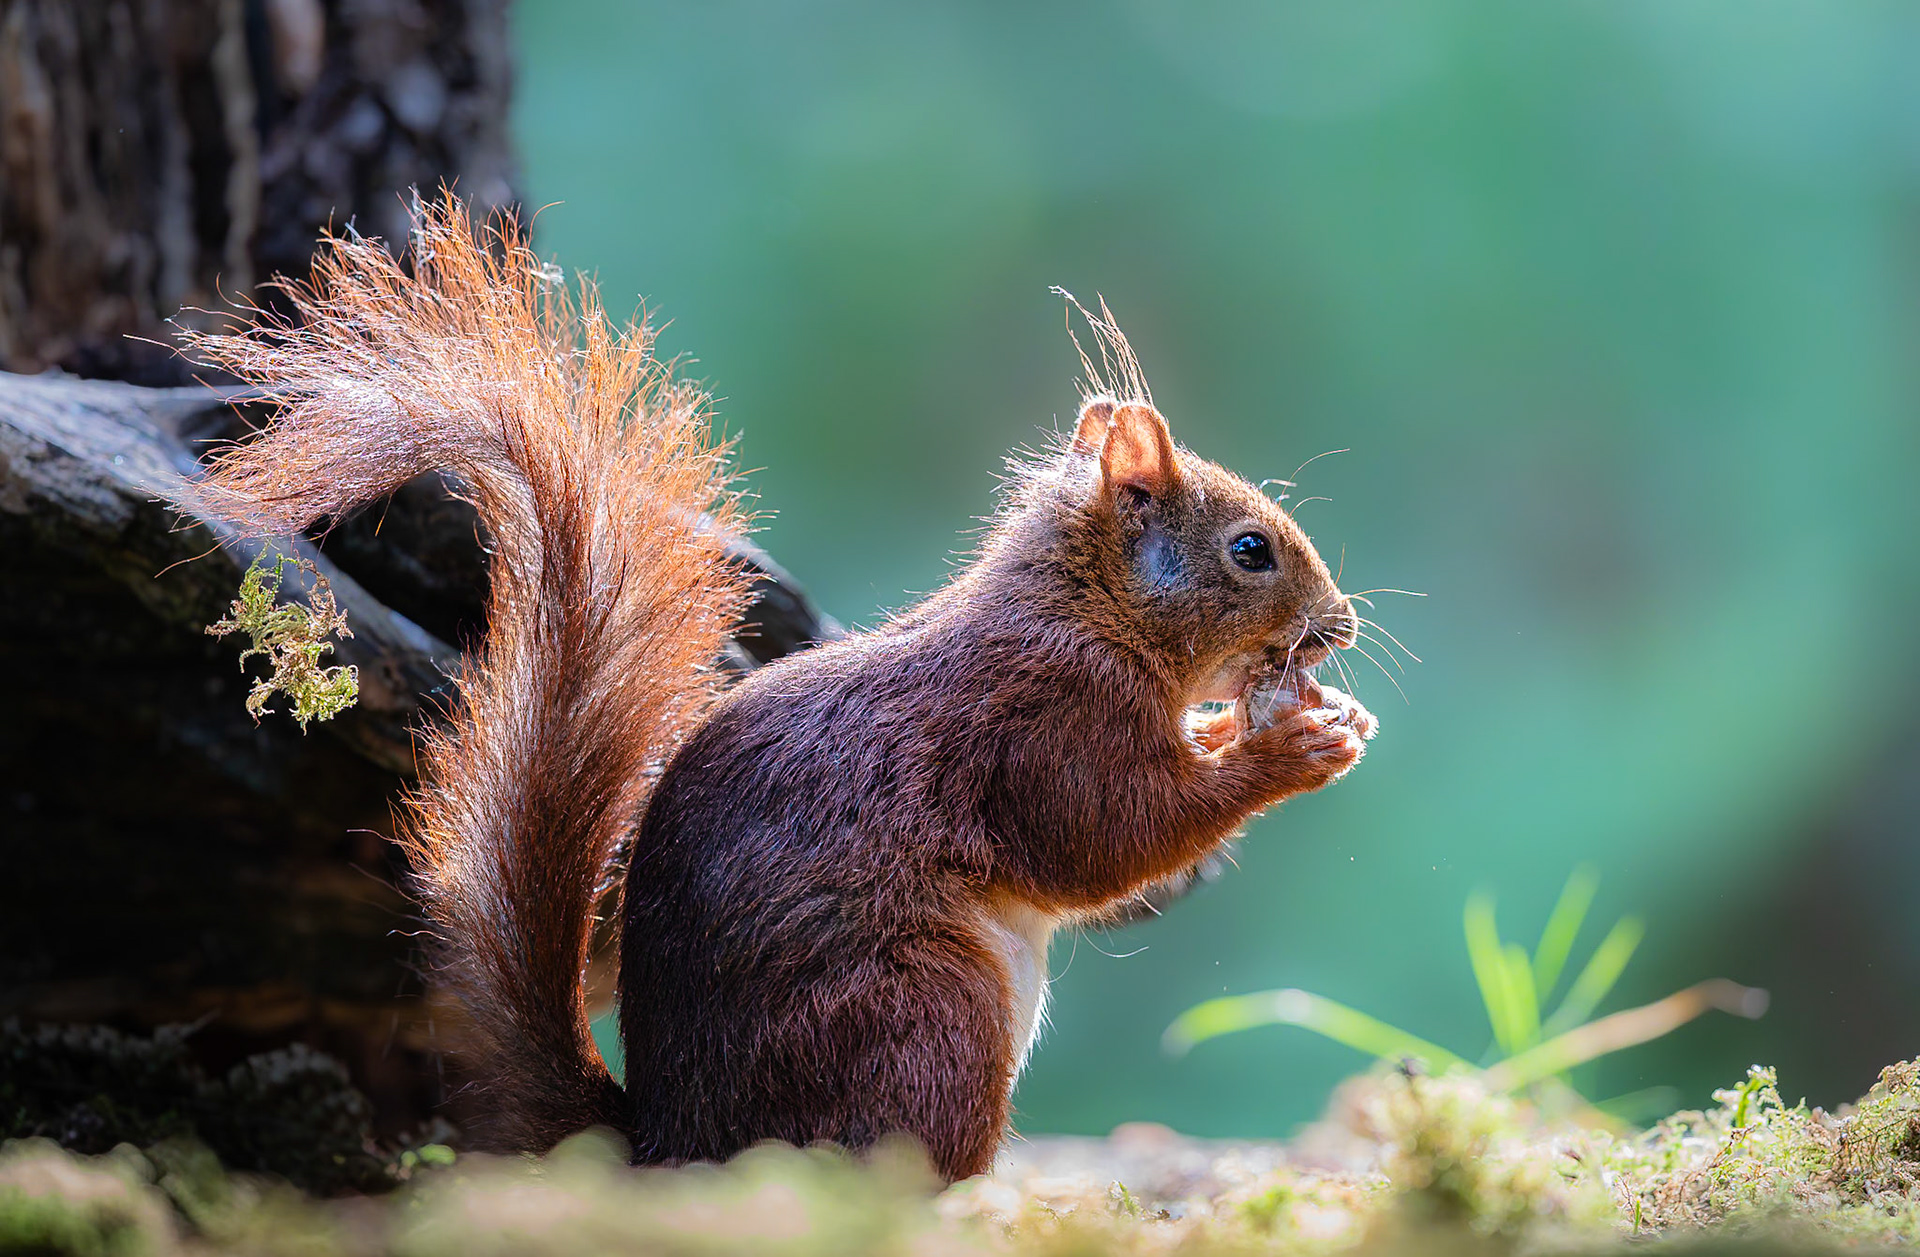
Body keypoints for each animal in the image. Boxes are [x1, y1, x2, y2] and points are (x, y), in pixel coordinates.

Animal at [182, 191, 1376, 1183]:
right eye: (1251, 551)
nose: (1343, 626)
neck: (1085, 612)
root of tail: (675, 1147)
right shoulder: (1041, 719)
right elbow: (1106, 837)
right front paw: (1291, 749)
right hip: (923, 1017)